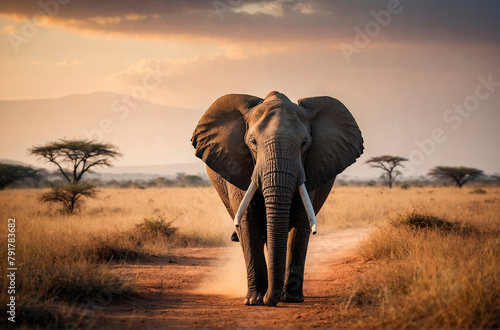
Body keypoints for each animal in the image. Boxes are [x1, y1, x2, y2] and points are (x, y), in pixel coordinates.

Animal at [191, 91, 364, 306]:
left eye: (304, 143)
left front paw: (291, 298)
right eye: (253, 142)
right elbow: (248, 221)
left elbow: (301, 224)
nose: (269, 299)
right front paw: (255, 300)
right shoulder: (238, 166)